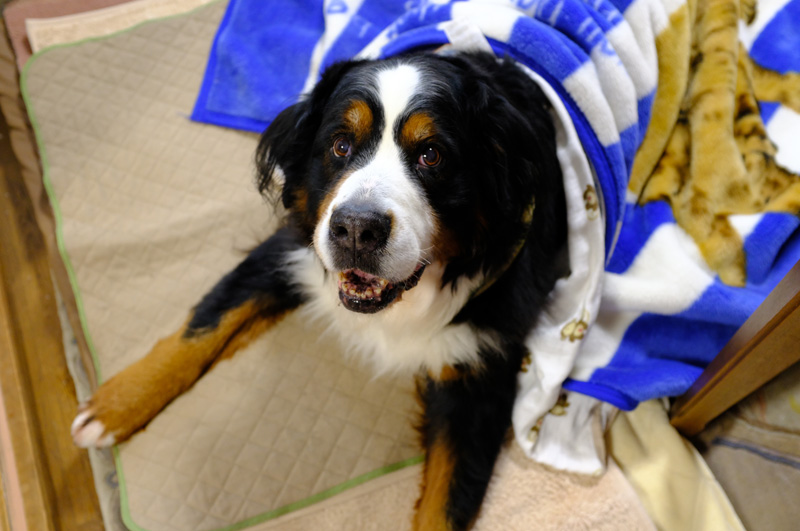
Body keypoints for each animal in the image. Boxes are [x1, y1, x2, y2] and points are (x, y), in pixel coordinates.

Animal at [71, 50, 567, 530]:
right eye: (340, 145)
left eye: (432, 155)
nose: (357, 229)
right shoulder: (290, 250)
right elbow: (204, 325)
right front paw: (113, 409)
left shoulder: (480, 370)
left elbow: (447, 505)